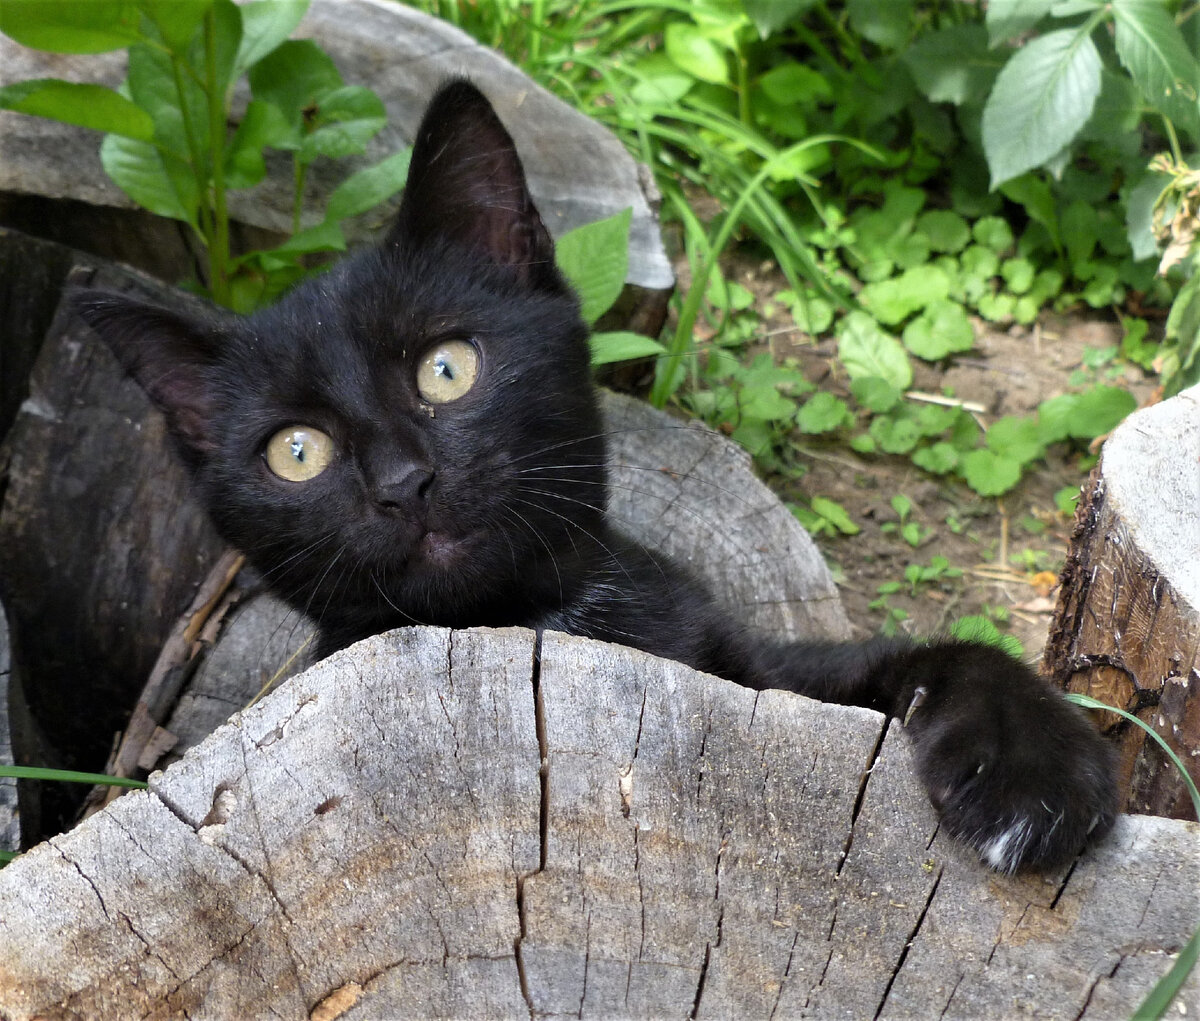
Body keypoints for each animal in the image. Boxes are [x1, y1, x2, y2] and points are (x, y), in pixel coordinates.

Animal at [72, 81, 1113, 878]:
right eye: (297, 453)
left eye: (447, 368)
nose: (404, 483)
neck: (538, 623)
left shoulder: (759, 673)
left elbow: (938, 652)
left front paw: (1035, 770)